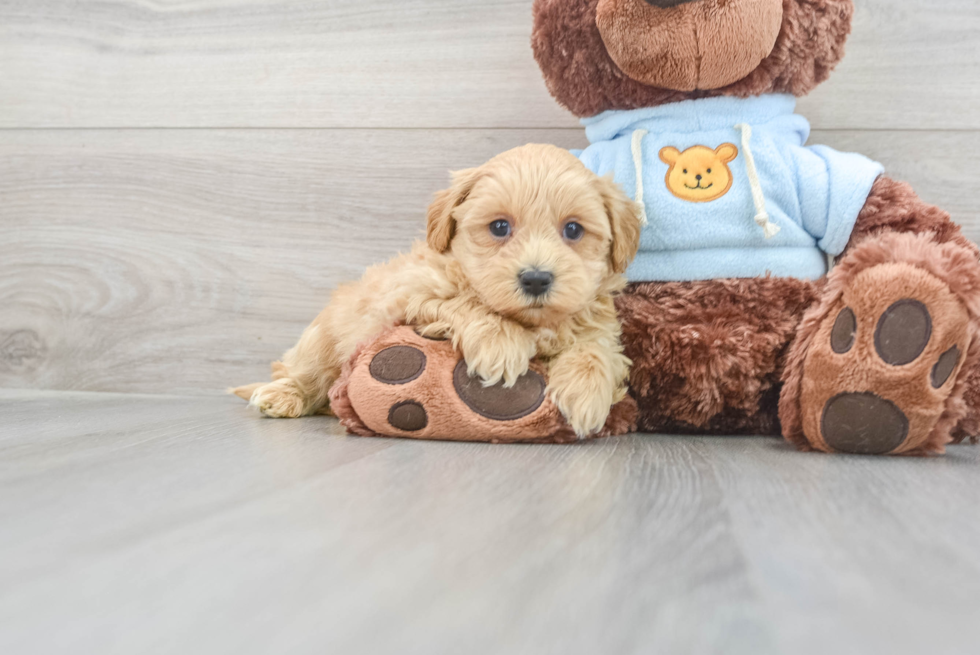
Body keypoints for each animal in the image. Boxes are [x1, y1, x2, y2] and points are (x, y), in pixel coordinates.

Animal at [232, 146, 644, 438]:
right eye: (499, 227)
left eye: (573, 230)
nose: (536, 279)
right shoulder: (411, 296)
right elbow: (466, 302)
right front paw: (500, 345)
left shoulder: (599, 324)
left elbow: (597, 350)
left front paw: (587, 395)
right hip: (320, 341)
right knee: (300, 372)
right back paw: (280, 395)